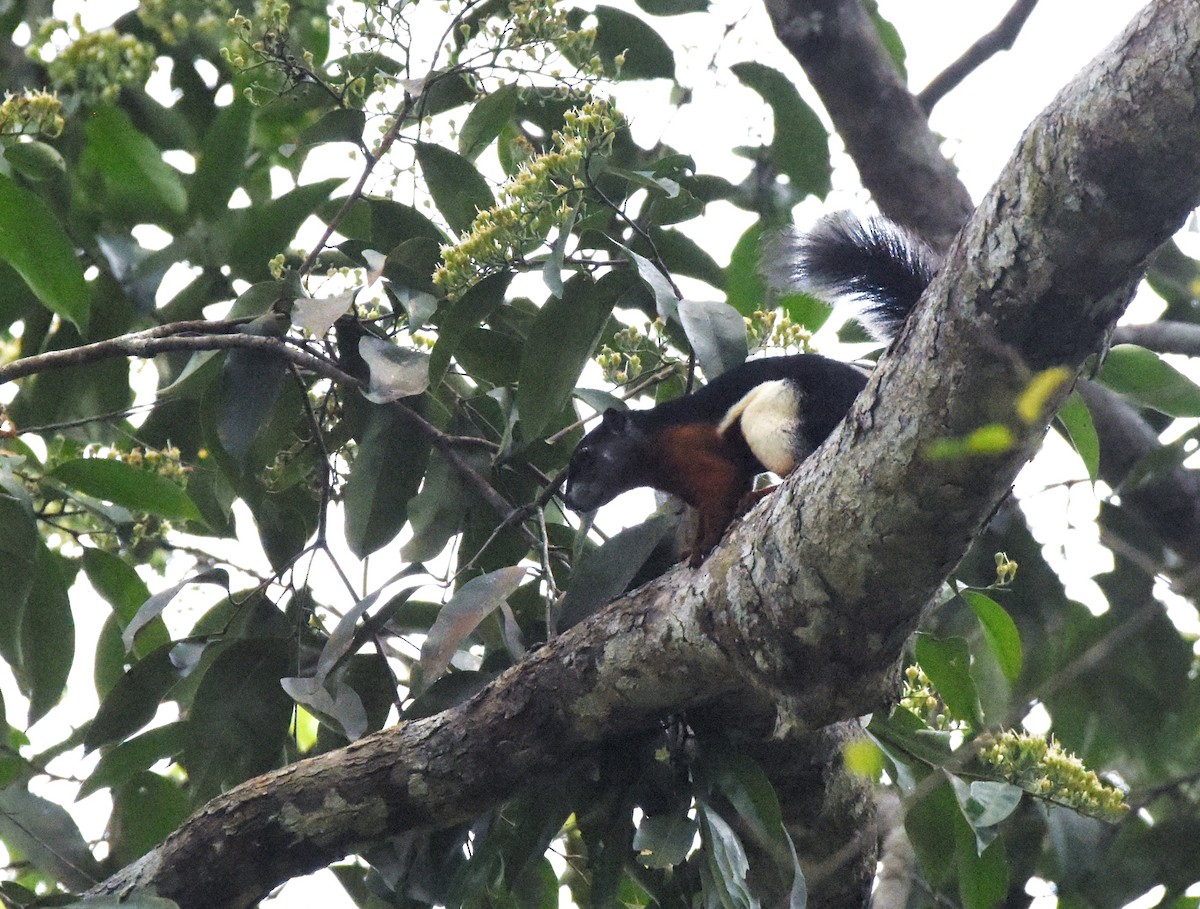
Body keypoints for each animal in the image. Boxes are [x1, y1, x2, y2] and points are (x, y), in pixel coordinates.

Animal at [561, 213, 939, 563]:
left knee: (796, 465)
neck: (653, 445)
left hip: (779, 410)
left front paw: (702, 547)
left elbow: (722, 492)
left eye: (585, 455)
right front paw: (692, 547)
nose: (569, 500)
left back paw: (763, 495)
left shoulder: (697, 454)